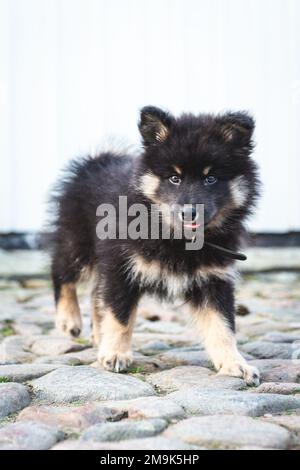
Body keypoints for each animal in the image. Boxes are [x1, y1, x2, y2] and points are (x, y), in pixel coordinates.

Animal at [49, 106, 260, 386]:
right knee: (62, 272)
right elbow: (121, 316)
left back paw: (98, 335)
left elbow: (222, 325)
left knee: (95, 293)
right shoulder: (122, 266)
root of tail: (98, 159)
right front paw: (116, 353)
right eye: (174, 178)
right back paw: (68, 318)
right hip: (77, 241)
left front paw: (235, 363)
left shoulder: (214, 277)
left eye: (211, 178)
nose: (189, 213)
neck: (176, 237)